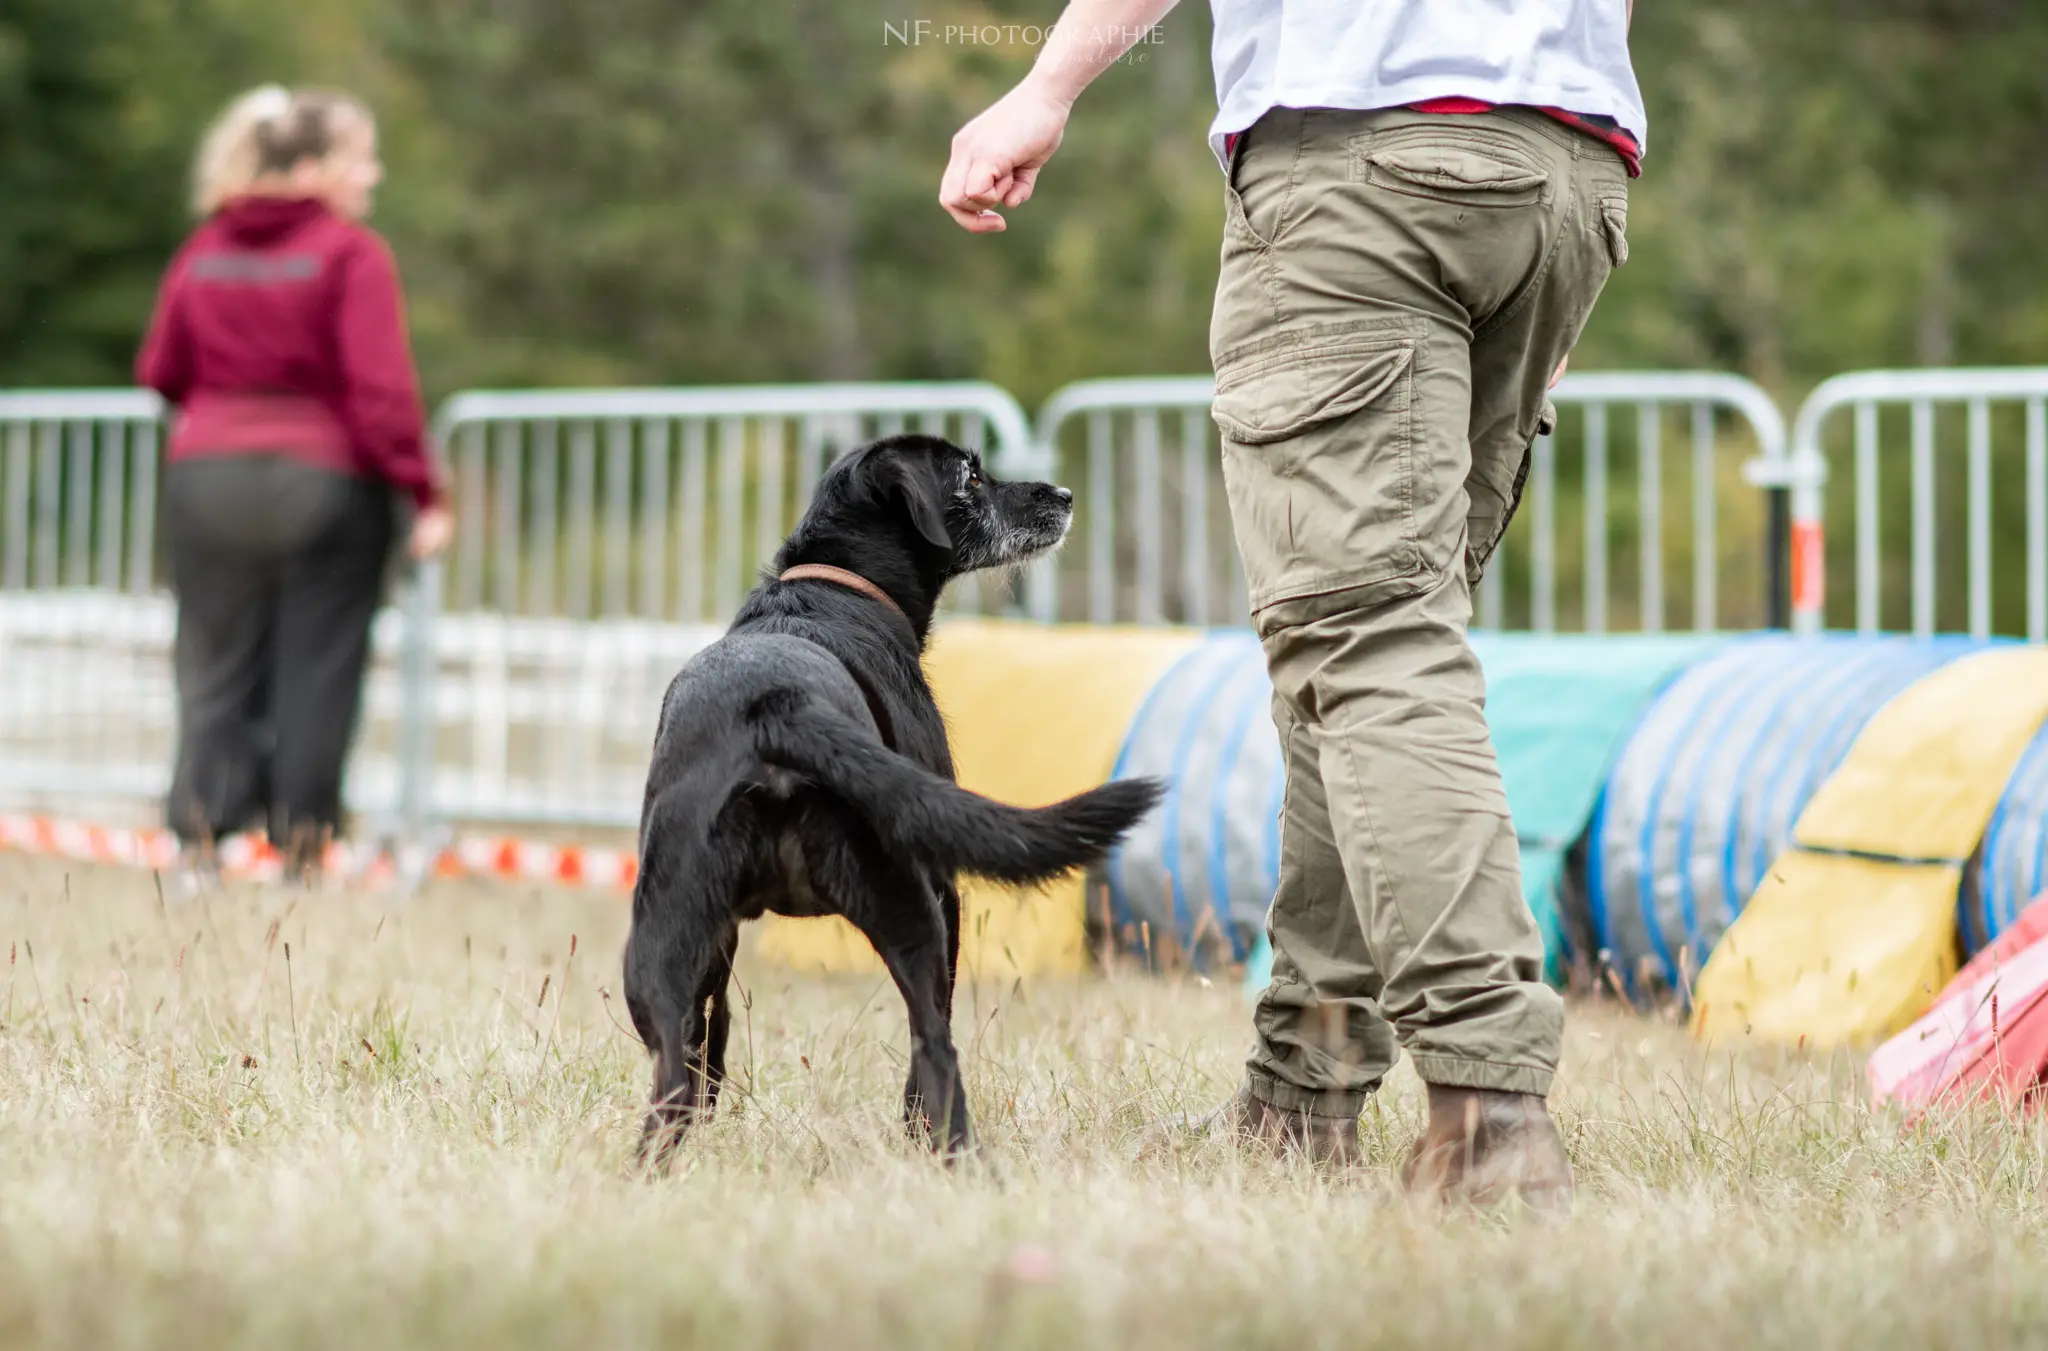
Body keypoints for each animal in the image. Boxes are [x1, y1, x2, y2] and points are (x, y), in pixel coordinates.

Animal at [622, 438, 1163, 1162]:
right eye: (971, 475)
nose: (1064, 495)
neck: (834, 585)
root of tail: (776, 707)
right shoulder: (945, 889)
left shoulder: (720, 935)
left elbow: (714, 1026)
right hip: (914, 906)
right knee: (935, 1046)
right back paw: (951, 1153)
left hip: (658, 943)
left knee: (672, 1075)